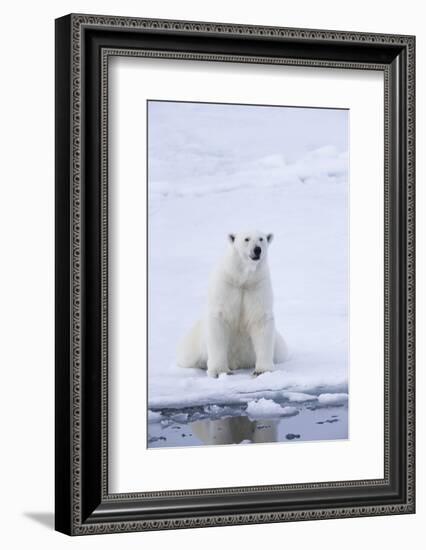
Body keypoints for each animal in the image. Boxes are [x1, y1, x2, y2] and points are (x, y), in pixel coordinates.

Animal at [175, 230, 288, 380]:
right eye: (246, 239)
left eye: (261, 239)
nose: (257, 250)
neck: (242, 279)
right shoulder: (226, 285)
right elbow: (219, 320)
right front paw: (220, 371)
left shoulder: (257, 286)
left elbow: (260, 319)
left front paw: (262, 371)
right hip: (193, 343)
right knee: (187, 356)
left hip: (278, 345)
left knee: (282, 352)